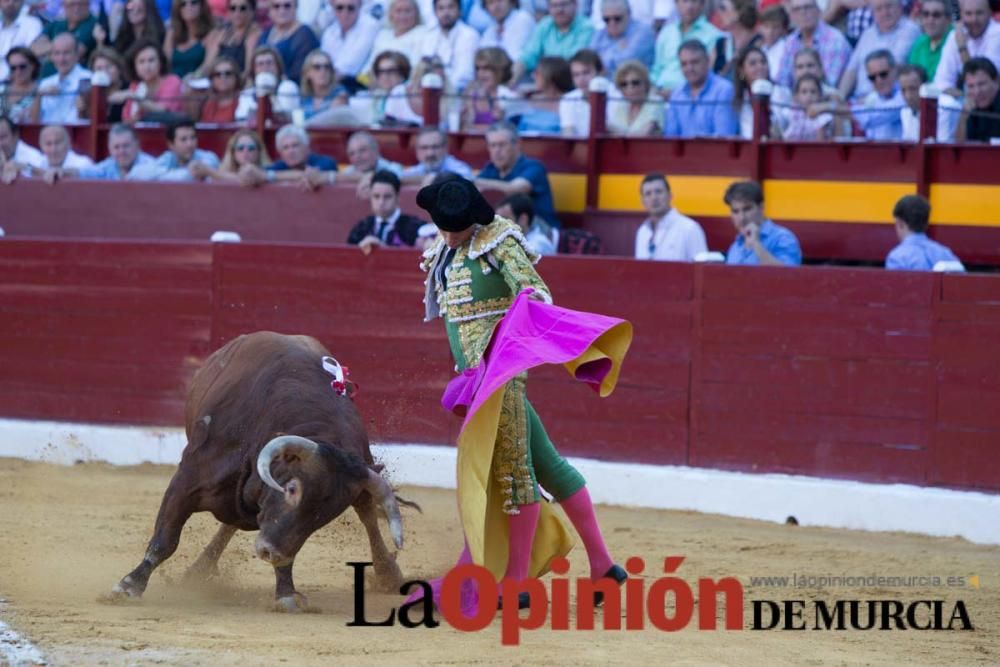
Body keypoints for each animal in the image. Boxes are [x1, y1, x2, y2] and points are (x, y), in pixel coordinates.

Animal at [109, 332, 406, 612]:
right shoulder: (186, 482)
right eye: (291, 489)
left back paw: (389, 574)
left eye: (328, 514)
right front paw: (129, 586)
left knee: (367, 515)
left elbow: (288, 542)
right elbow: (165, 540)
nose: (269, 552)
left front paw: (286, 594)